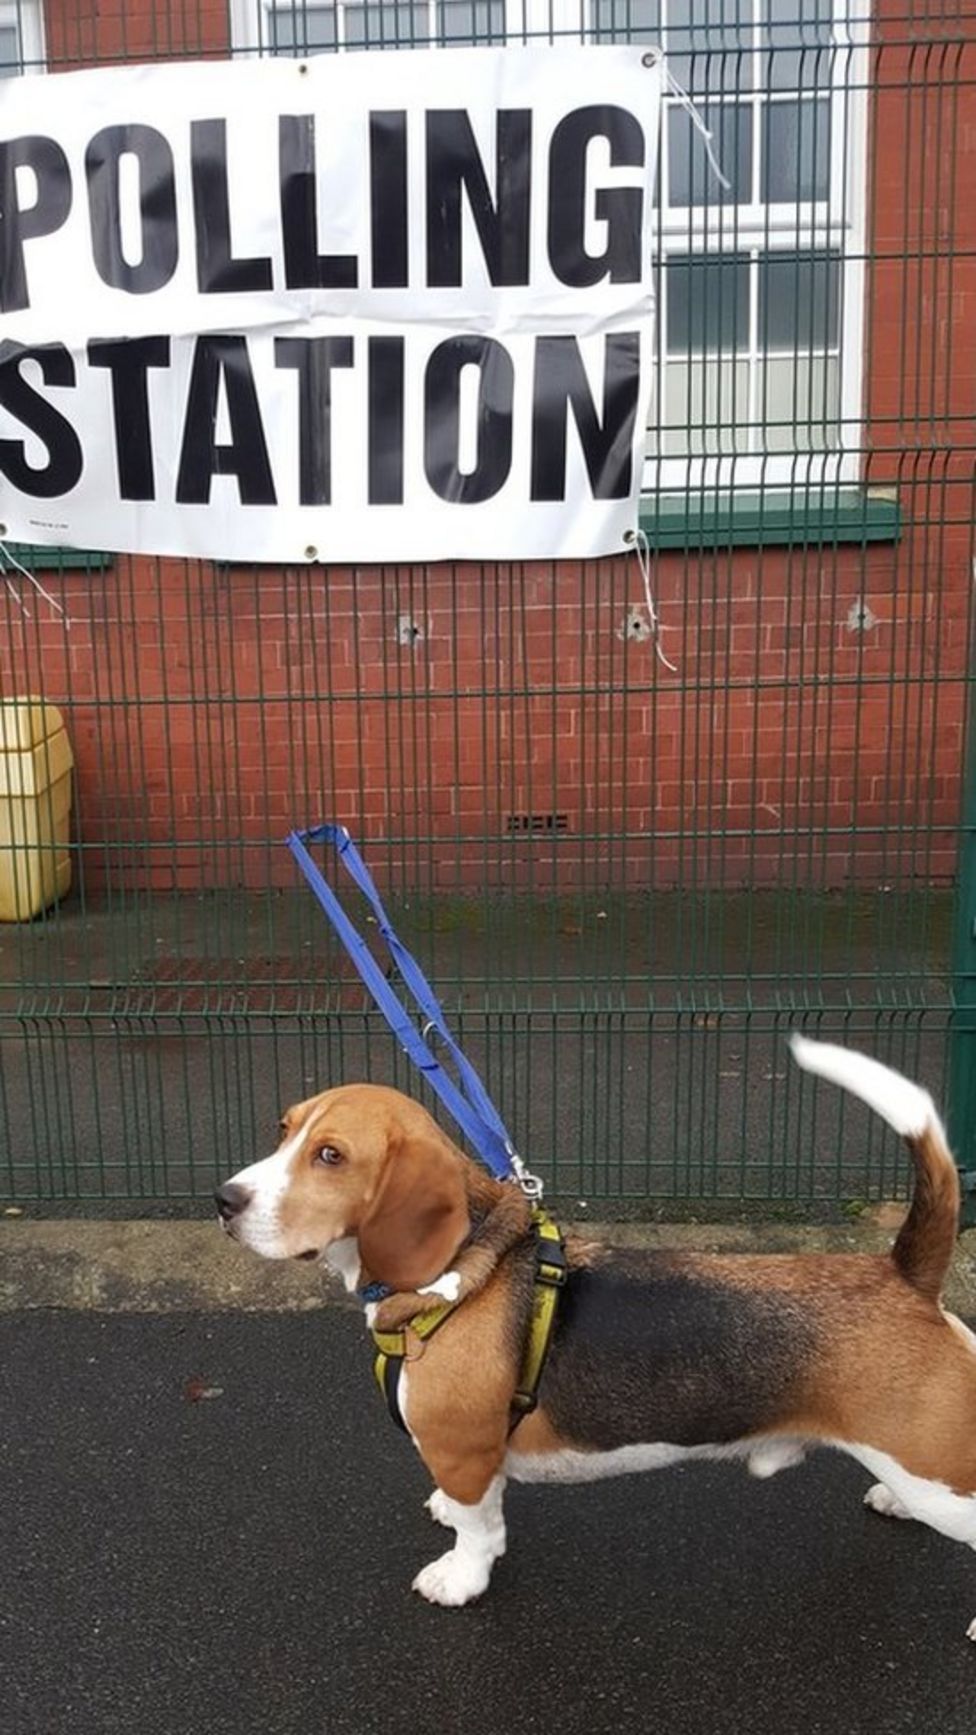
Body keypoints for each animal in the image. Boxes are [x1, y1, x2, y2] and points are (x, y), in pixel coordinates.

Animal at [217, 1034, 976, 1630]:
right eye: (283, 1129)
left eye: (331, 1156)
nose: (223, 1200)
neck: (460, 1268)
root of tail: (906, 1274)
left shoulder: (464, 1451)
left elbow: (479, 1530)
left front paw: (459, 1579)